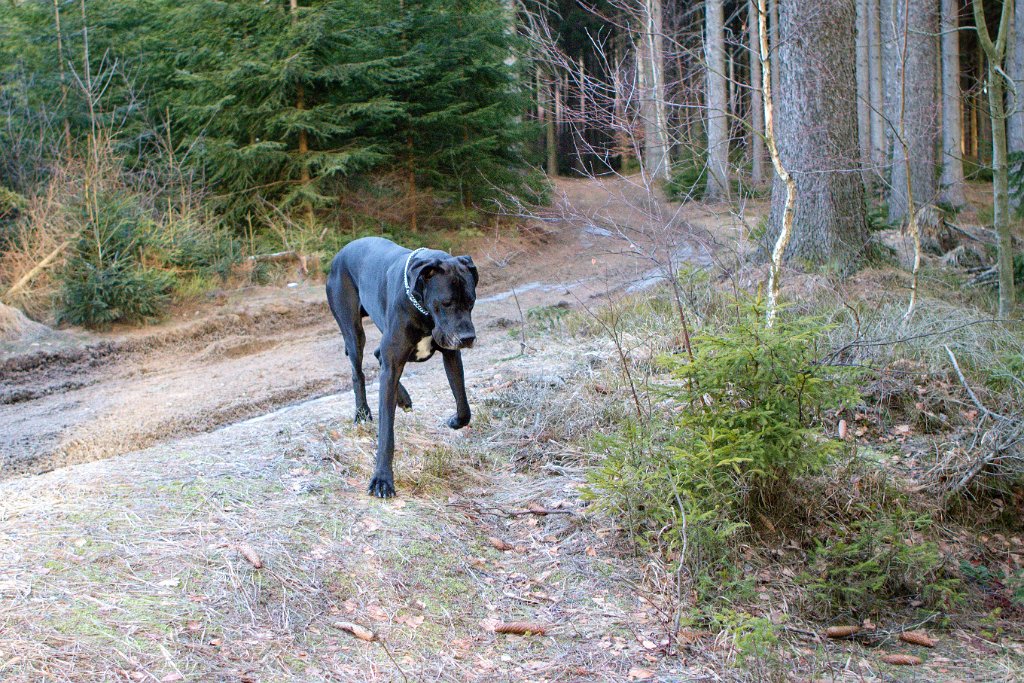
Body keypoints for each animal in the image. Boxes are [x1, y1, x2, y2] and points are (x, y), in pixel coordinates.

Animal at [325, 239, 477, 497]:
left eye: (471, 301)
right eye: (446, 303)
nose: (468, 338)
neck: (423, 310)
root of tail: (340, 254)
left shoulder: (451, 354)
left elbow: (463, 402)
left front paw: (455, 421)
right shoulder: (394, 360)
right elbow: (386, 432)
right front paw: (382, 479)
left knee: (378, 355)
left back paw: (402, 397)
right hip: (353, 331)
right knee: (358, 372)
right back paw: (363, 412)